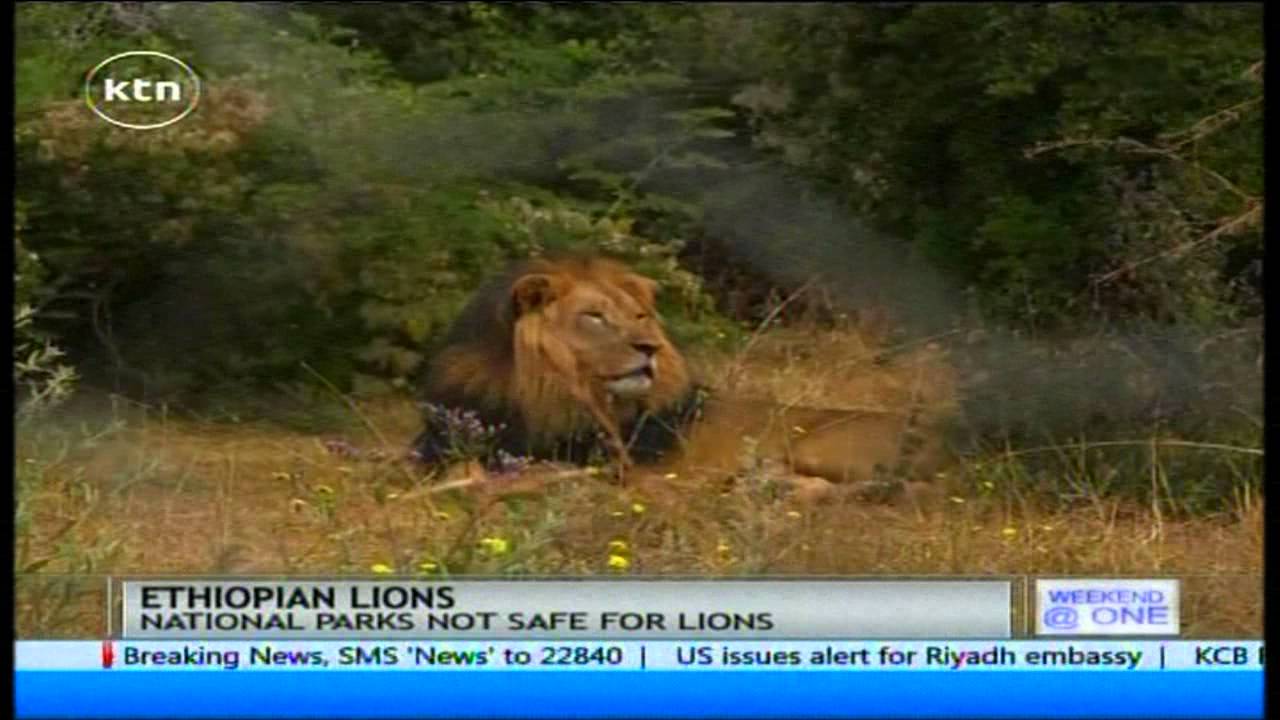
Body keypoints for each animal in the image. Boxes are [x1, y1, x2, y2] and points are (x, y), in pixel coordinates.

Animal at [411, 254, 951, 501]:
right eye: (595, 317)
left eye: (639, 316)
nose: (648, 348)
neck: (541, 390)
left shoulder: (612, 466)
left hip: (820, 444)